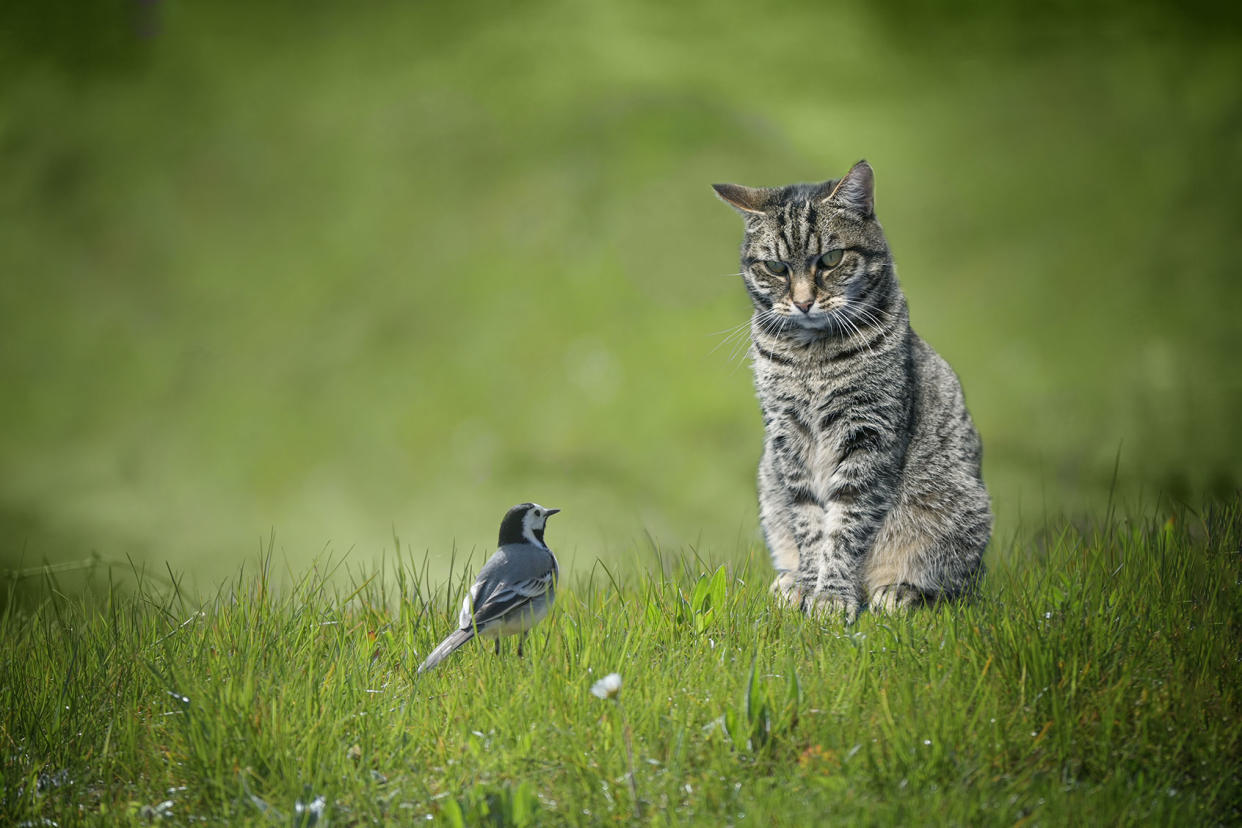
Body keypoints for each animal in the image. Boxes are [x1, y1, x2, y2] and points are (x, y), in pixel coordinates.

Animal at [720, 158, 988, 618]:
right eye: (776, 268)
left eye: (830, 259)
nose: (803, 301)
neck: (811, 355)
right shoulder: (788, 438)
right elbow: (810, 523)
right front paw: (808, 586)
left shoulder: (868, 433)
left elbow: (846, 524)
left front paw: (832, 595)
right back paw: (788, 579)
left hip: (961, 509)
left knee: (956, 586)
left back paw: (898, 591)